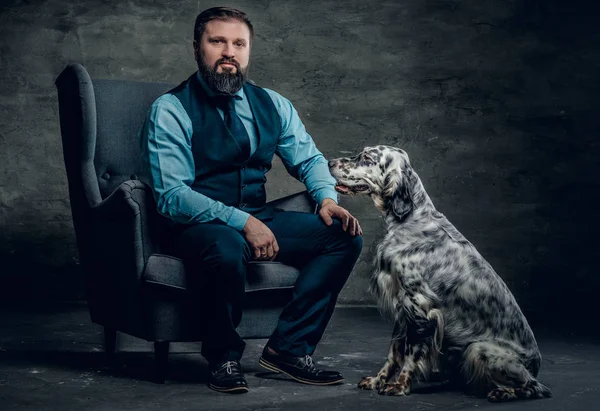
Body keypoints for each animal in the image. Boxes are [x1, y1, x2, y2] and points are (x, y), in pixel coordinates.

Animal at [328, 146, 552, 402]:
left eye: (367, 157)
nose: (330, 162)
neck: (410, 220)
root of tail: (536, 364)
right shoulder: (402, 308)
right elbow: (394, 352)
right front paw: (378, 380)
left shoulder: (420, 307)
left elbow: (411, 353)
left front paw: (399, 386)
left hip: (478, 349)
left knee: (536, 387)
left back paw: (503, 392)